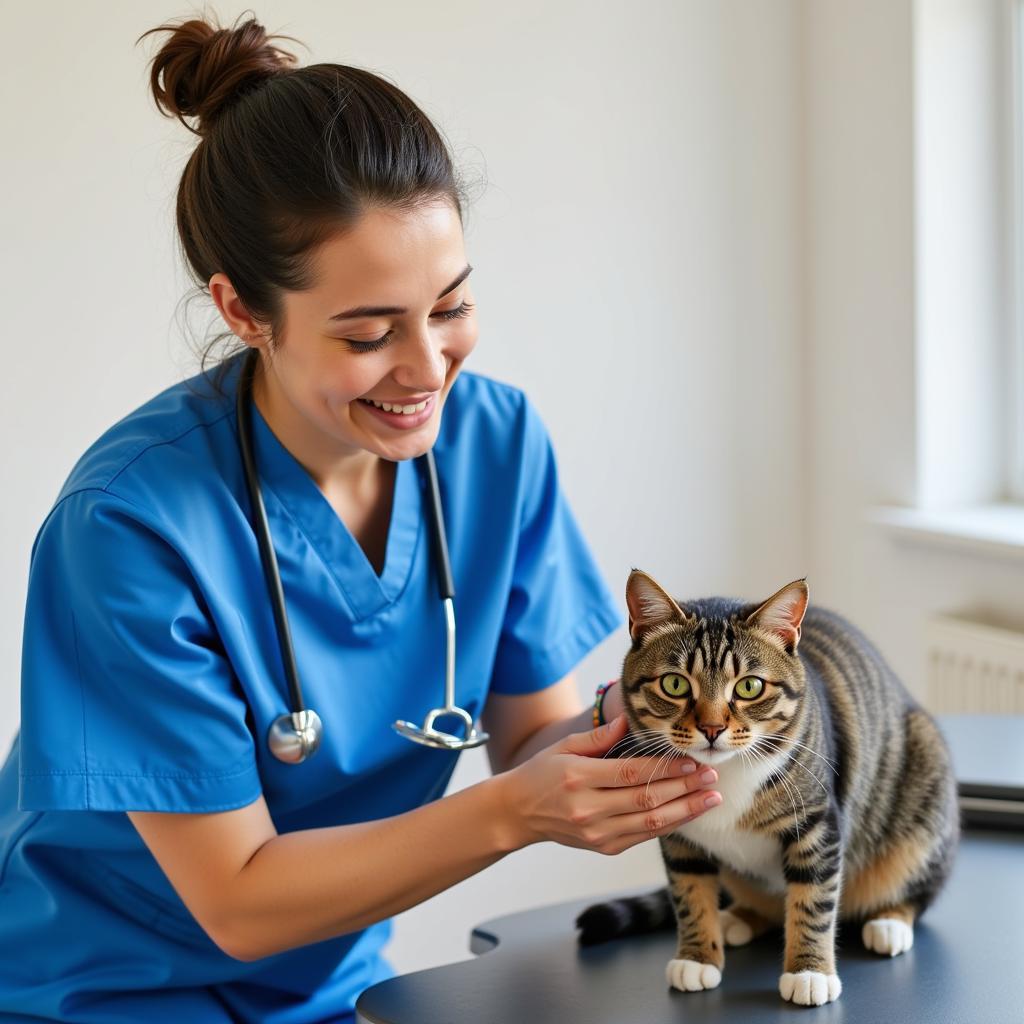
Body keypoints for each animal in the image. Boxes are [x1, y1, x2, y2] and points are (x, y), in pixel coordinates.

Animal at [577, 569, 958, 1007]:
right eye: (674, 684)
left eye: (748, 687)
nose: (711, 728)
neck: (725, 773)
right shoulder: (680, 836)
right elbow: (690, 893)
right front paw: (696, 958)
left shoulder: (817, 822)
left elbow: (813, 899)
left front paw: (809, 972)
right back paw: (737, 918)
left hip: (924, 786)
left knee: (916, 886)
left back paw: (890, 922)